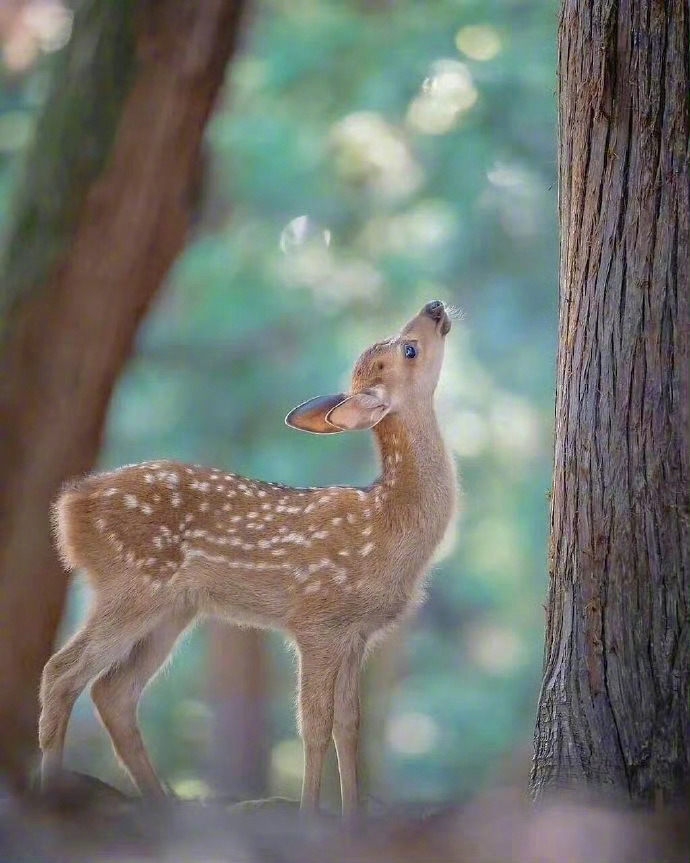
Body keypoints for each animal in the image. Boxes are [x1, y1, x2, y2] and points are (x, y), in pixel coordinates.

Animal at [39, 300, 457, 816]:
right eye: (409, 349)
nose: (434, 307)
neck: (388, 523)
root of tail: (70, 507)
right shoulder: (317, 621)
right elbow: (314, 726)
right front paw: (309, 814)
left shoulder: (356, 633)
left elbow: (348, 725)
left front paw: (352, 815)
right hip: (131, 583)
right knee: (62, 673)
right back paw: (52, 790)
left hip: (174, 608)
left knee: (113, 692)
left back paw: (163, 804)